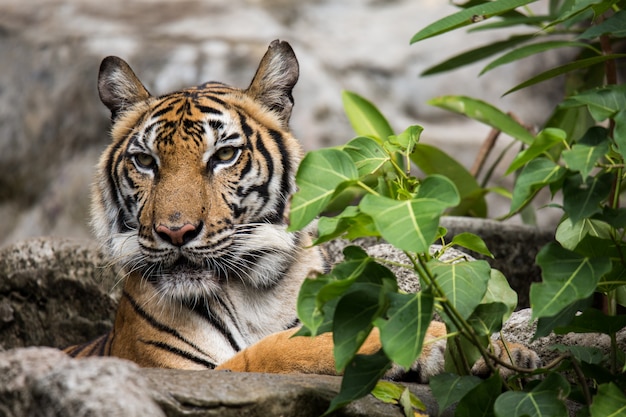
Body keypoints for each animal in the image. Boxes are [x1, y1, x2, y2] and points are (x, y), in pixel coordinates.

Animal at [66, 39, 540, 380]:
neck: (255, 291)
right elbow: (288, 346)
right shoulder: (179, 371)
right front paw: (445, 342)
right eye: (145, 161)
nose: (175, 232)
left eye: (223, 155)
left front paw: (505, 352)